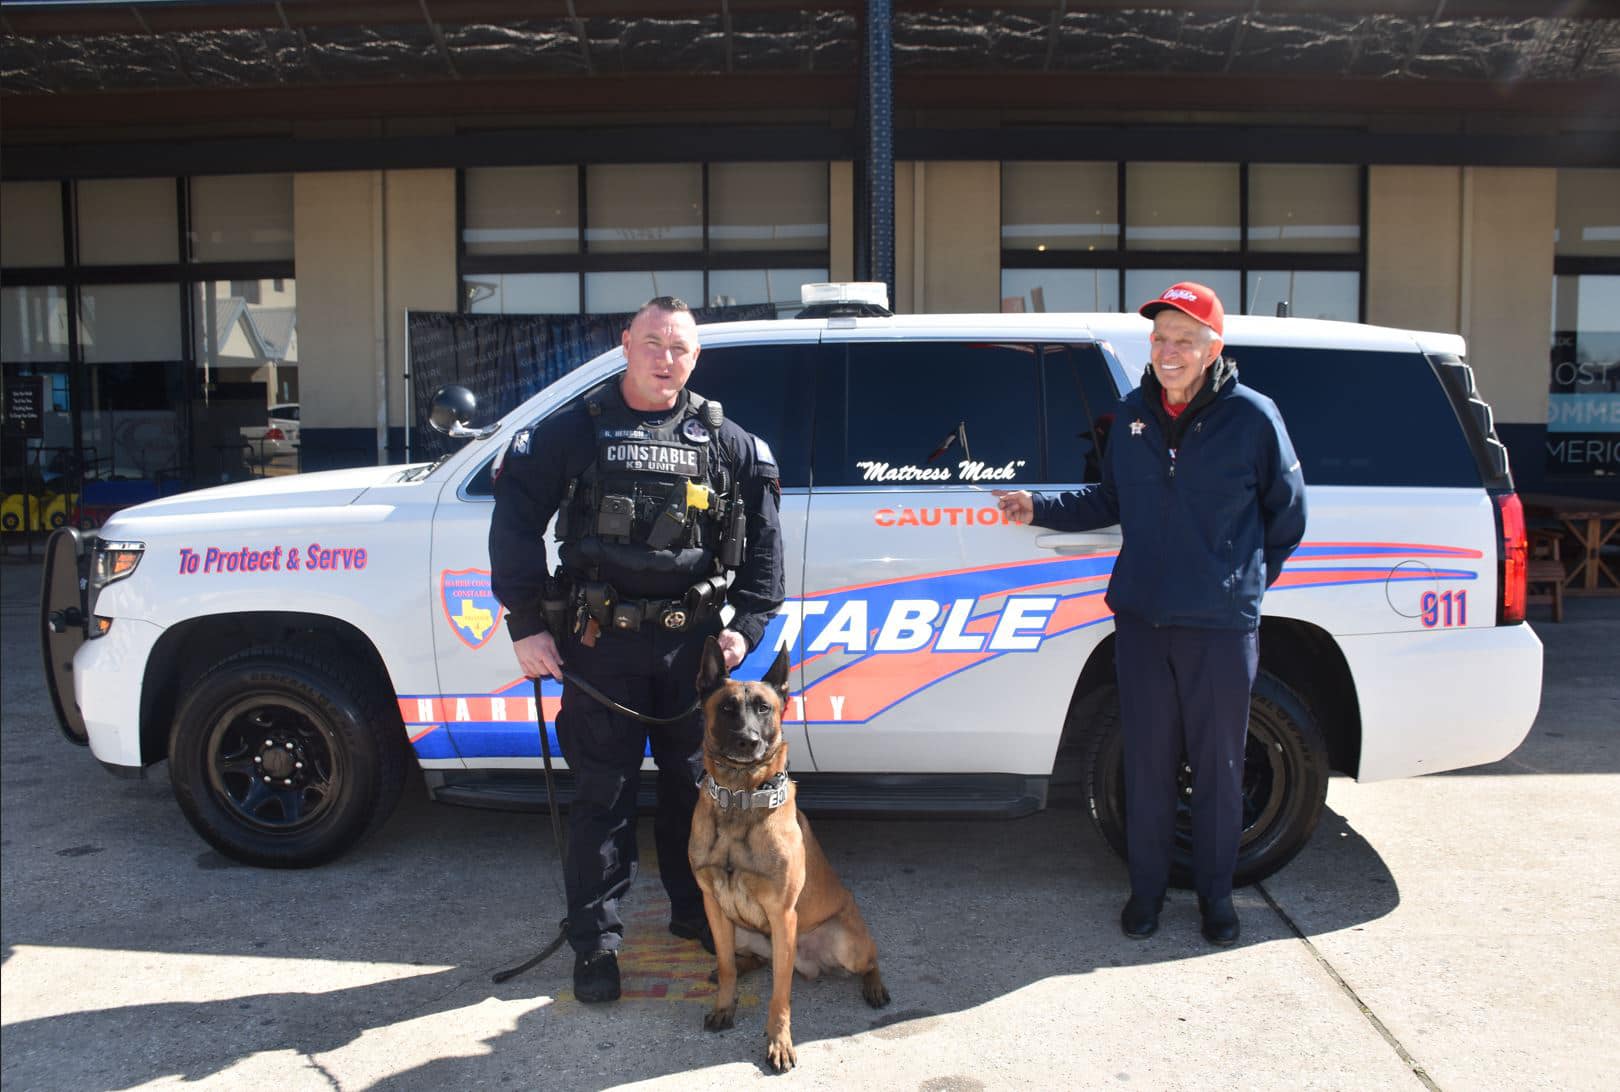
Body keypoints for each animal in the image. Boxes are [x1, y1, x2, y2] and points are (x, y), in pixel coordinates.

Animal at [690, 635, 894, 1069]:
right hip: (741, 930)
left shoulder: (783, 915)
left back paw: (874, 986)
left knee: (869, 960)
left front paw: (779, 1041)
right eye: (727, 708)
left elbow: (779, 996)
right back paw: (742, 966)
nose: (749, 741)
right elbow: (726, 966)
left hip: (845, 943)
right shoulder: (714, 907)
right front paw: (724, 1005)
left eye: (764, 708)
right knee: (750, 959)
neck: (739, 797)